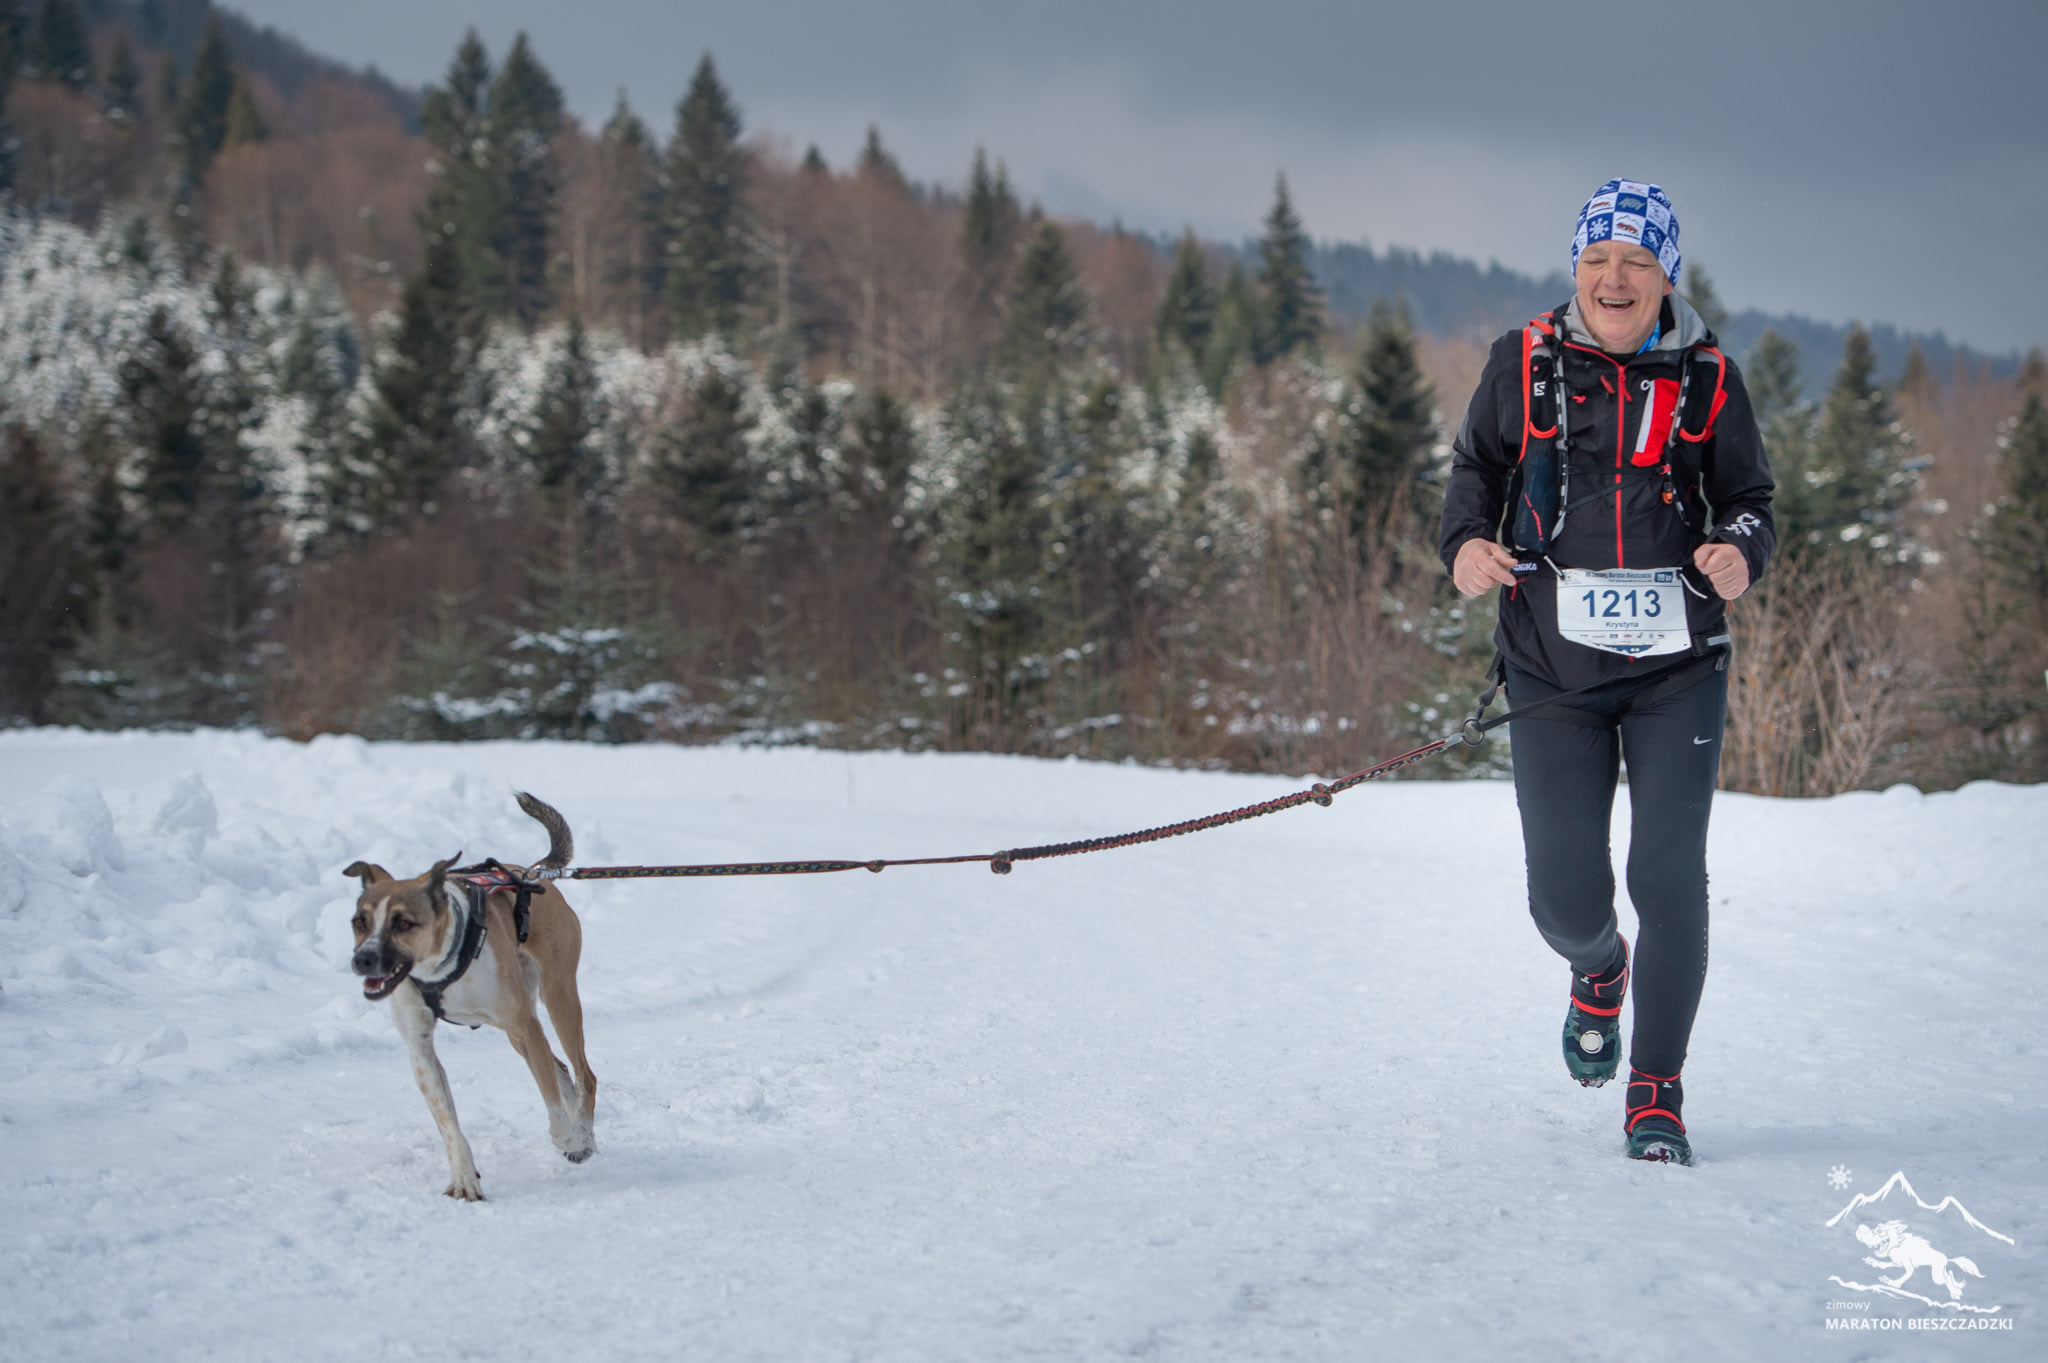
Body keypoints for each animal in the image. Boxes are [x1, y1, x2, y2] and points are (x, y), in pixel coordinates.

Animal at [344, 789, 598, 1195]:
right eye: (359, 921)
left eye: (403, 923)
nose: (363, 960)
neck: (444, 969)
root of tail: (532, 874)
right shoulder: (421, 1050)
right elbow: (448, 1122)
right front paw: (464, 1176)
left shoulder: (526, 1026)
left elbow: (552, 1102)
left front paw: (571, 1139)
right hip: (518, 1031)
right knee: (562, 1070)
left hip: (557, 1000)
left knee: (583, 1075)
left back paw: (584, 1134)